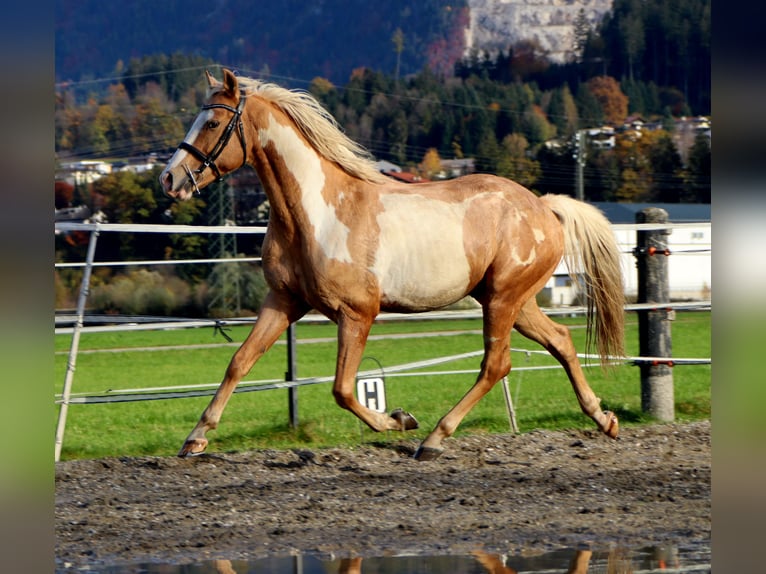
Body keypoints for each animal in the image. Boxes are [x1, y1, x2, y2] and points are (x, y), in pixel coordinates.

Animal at [160, 68, 625, 460]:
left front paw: (399, 420)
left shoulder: (357, 313)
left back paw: (433, 439)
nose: (169, 179)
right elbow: (239, 362)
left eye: (213, 124)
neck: (316, 214)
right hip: (513, 301)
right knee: (560, 340)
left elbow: (343, 389)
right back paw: (604, 419)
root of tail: (544, 207)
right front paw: (195, 439)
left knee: (496, 364)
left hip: (502, 300)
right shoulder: (284, 301)